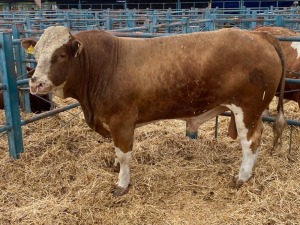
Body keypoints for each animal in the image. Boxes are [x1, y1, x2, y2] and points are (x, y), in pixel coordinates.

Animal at [21, 25, 286, 195]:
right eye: (38, 53)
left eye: (61, 54)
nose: (36, 83)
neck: (102, 65)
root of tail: (258, 35)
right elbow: (116, 151)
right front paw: (116, 168)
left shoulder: (122, 121)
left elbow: (124, 154)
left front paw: (122, 184)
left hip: (247, 110)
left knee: (250, 142)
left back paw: (242, 177)